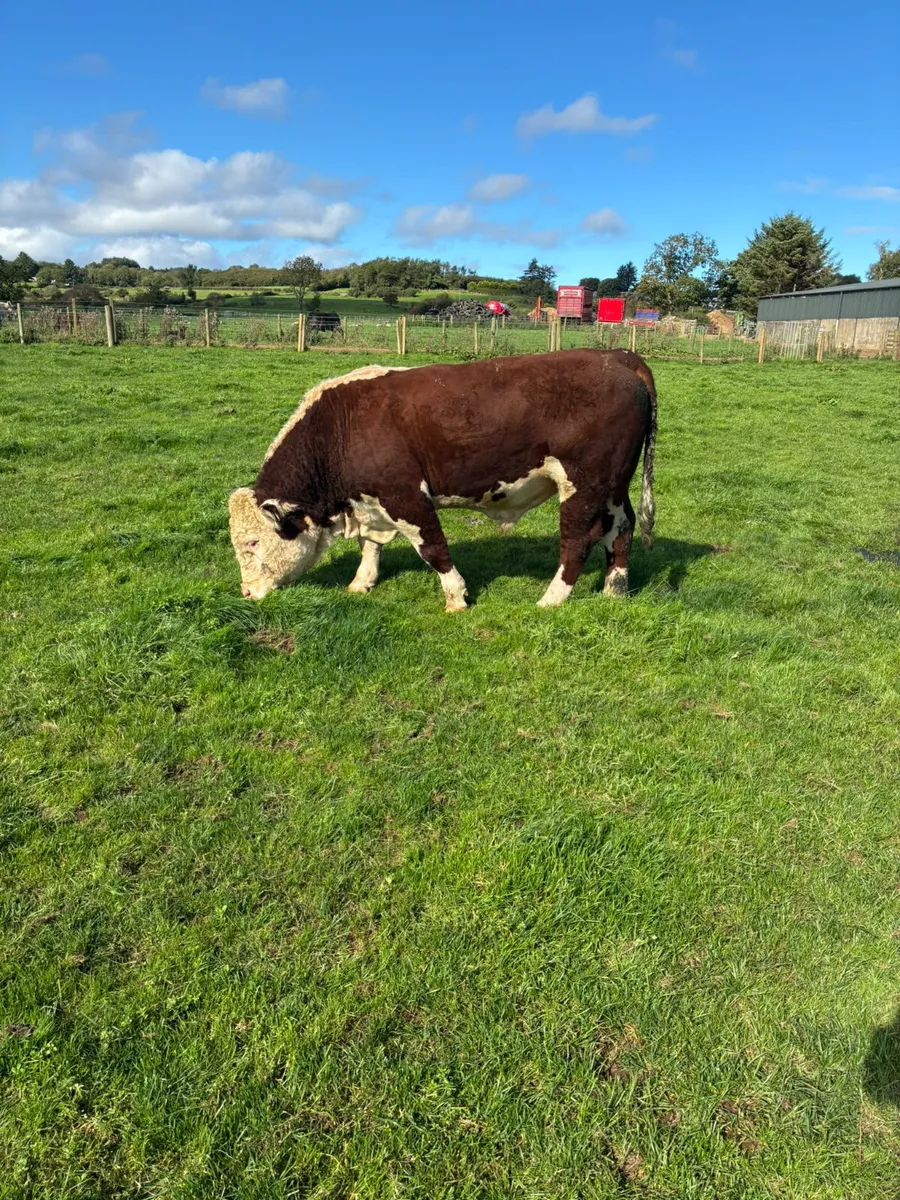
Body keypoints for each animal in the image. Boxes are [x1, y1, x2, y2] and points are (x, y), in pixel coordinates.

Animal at [229, 349, 657, 611]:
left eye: (252, 543)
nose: (246, 592)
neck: (340, 426)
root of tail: (616, 356)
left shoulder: (405, 496)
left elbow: (432, 548)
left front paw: (456, 596)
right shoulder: (370, 501)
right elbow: (371, 546)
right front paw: (361, 582)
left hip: (582, 484)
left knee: (579, 539)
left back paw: (551, 599)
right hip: (613, 486)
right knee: (621, 528)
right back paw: (615, 589)